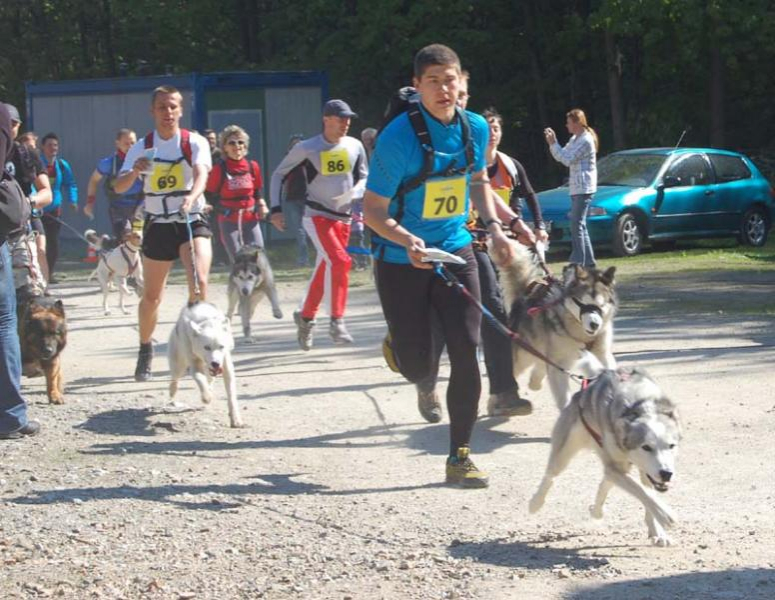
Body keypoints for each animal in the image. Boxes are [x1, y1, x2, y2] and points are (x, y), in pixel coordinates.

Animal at [498, 239, 620, 408]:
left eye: (601, 305)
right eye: (582, 303)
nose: (594, 324)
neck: (581, 335)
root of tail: (526, 293)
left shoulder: (602, 353)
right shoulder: (559, 365)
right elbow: (563, 397)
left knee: (540, 364)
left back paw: (535, 382)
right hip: (523, 355)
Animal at [532, 366, 684, 548]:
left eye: (671, 446)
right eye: (646, 447)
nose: (666, 474)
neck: (640, 406)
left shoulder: (644, 471)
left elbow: (647, 494)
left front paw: (659, 532)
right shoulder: (616, 466)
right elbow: (642, 491)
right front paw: (665, 515)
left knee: (605, 482)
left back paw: (596, 510)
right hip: (565, 452)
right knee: (551, 476)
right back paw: (535, 503)